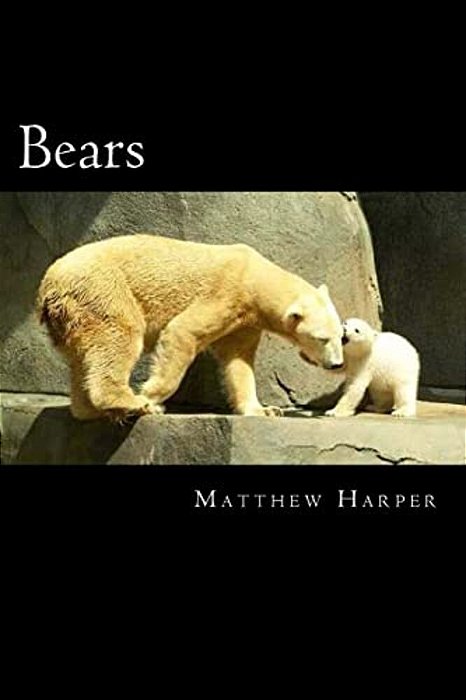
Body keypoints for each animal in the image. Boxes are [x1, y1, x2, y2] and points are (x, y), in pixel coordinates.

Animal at [37, 234, 344, 421]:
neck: (255, 277)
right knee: (119, 338)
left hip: (76, 314)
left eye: (341, 336)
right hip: (103, 291)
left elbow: (239, 362)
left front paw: (265, 410)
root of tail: (49, 284)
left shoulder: (244, 321)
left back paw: (92, 410)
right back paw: (133, 403)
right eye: (322, 338)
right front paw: (151, 396)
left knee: (84, 358)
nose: (336, 364)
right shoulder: (226, 293)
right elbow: (182, 331)